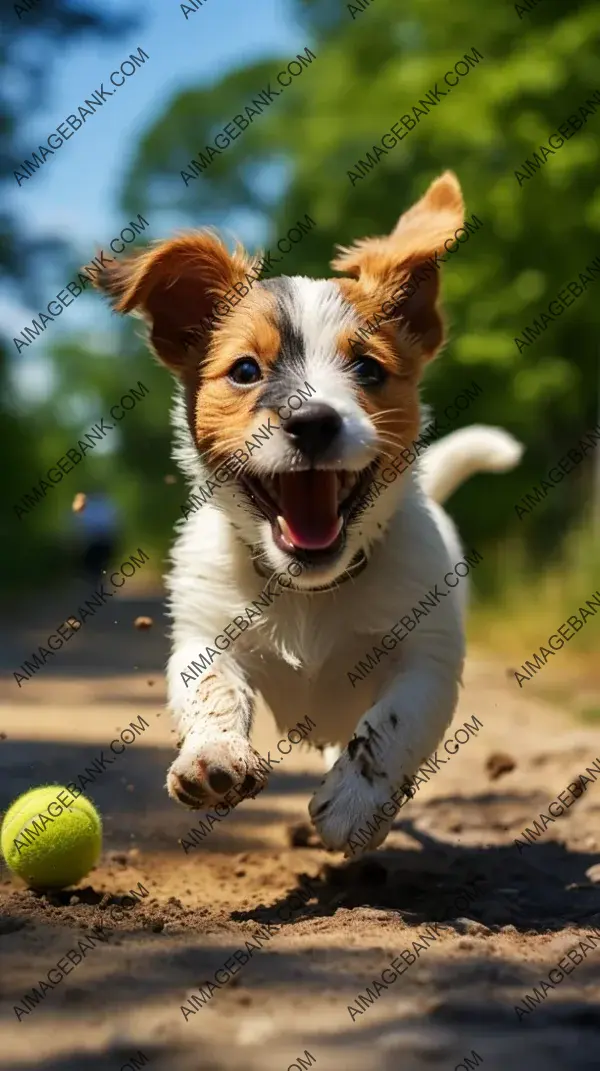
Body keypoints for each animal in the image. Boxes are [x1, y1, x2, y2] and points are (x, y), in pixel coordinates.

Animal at [95, 171, 522, 852]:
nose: (313, 420)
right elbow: (211, 689)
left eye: (368, 369)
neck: (310, 590)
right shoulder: (203, 636)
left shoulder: (427, 657)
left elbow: (393, 723)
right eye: (245, 370)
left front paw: (357, 801)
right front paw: (213, 756)